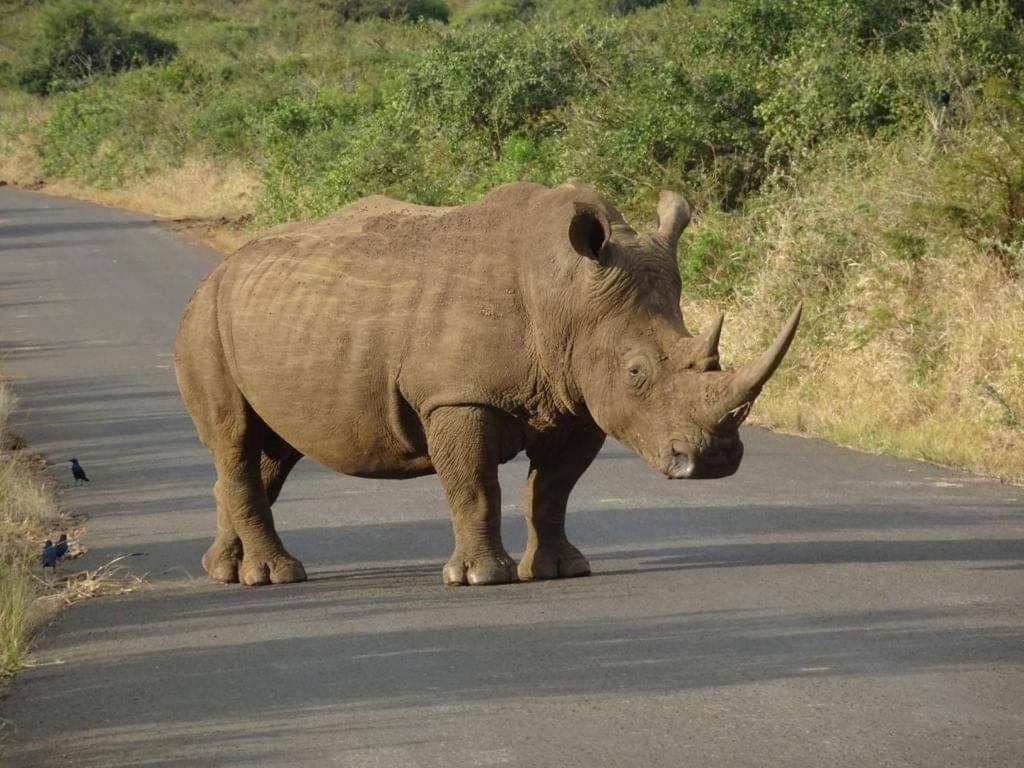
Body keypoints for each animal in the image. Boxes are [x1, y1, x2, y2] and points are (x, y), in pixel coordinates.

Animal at [173, 182, 800, 587]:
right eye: (637, 373)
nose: (715, 461)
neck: (567, 296)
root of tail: (218, 271)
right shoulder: (456, 396)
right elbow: (475, 488)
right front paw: (480, 578)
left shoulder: (577, 400)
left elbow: (552, 491)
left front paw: (561, 570)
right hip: (202, 321)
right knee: (235, 438)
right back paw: (275, 577)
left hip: (267, 317)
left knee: (271, 451)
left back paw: (223, 570)